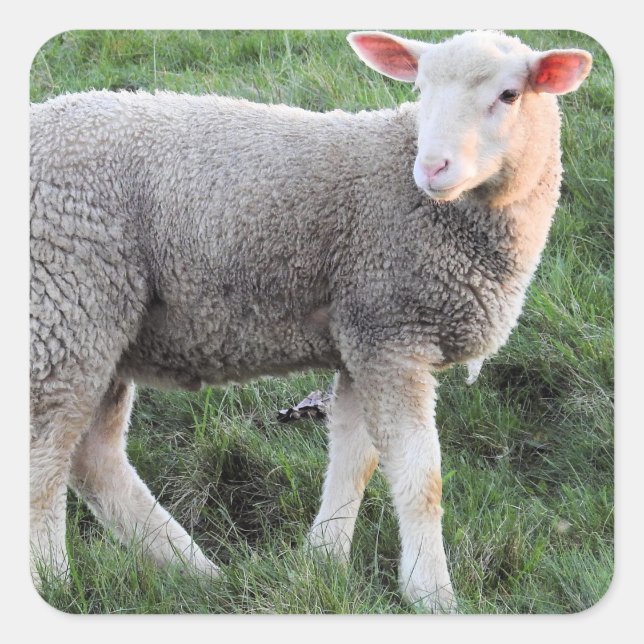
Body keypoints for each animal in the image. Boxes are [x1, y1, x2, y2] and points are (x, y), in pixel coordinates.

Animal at [30, 29, 592, 613]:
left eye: (509, 95)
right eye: (420, 89)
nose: (432, 168)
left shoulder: (363, 332)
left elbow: (355, 457)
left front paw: (323, 559)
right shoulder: (391, 332)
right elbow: (420, 474)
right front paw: (431, 593)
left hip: (101, 326)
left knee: (92, 458)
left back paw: (193, 571)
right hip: (64, 303)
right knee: (44, 459)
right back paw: (55, 579)